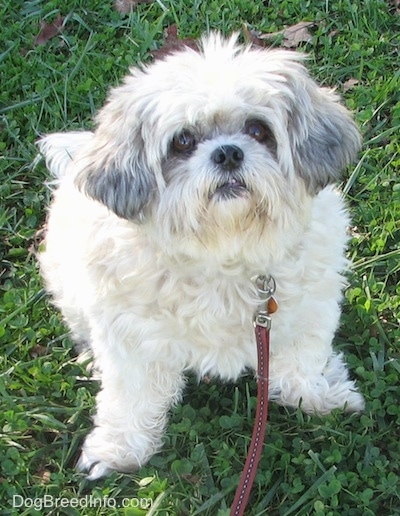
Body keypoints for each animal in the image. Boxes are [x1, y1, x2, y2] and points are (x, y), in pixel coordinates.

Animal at [37, 33, 366, 480]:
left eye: (257, 130)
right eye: (183, 141)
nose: (228, 153)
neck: (224, 250)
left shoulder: (307, 312)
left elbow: (304, 360)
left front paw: (317, 395)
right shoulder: (132, 341)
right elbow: (131, 397)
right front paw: (119, 448)